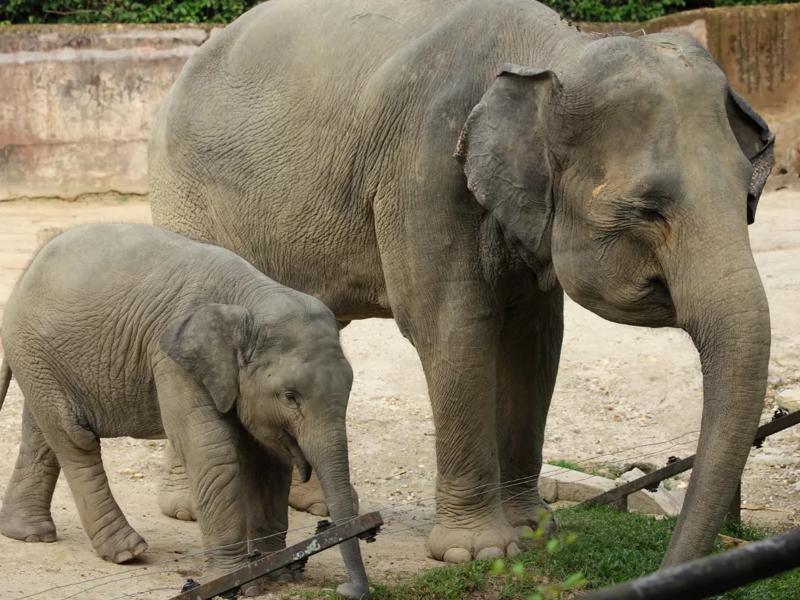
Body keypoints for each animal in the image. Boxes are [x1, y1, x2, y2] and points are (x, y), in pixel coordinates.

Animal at [0, 223, 368, 596]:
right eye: (290, 396)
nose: (346, 590)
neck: (251, 297)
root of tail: (26, 271)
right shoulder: (173, 361)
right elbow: (210, 450)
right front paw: (233, 582)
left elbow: (268, 460)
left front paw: (273, 574)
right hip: (34, 349)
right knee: (74, 438)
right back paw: (127, 552)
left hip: (41, 360)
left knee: (42, 433)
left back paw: (29, 534)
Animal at [147, 0, 772, 568]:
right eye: (647, 209)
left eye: (749, 196)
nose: (670, 564)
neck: (554, 53)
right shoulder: (424, 170)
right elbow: (454, 330)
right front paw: (478, 551)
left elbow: (534, 343)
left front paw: (534, 530)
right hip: (183, 192)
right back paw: (187, 510)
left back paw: (316, 505)